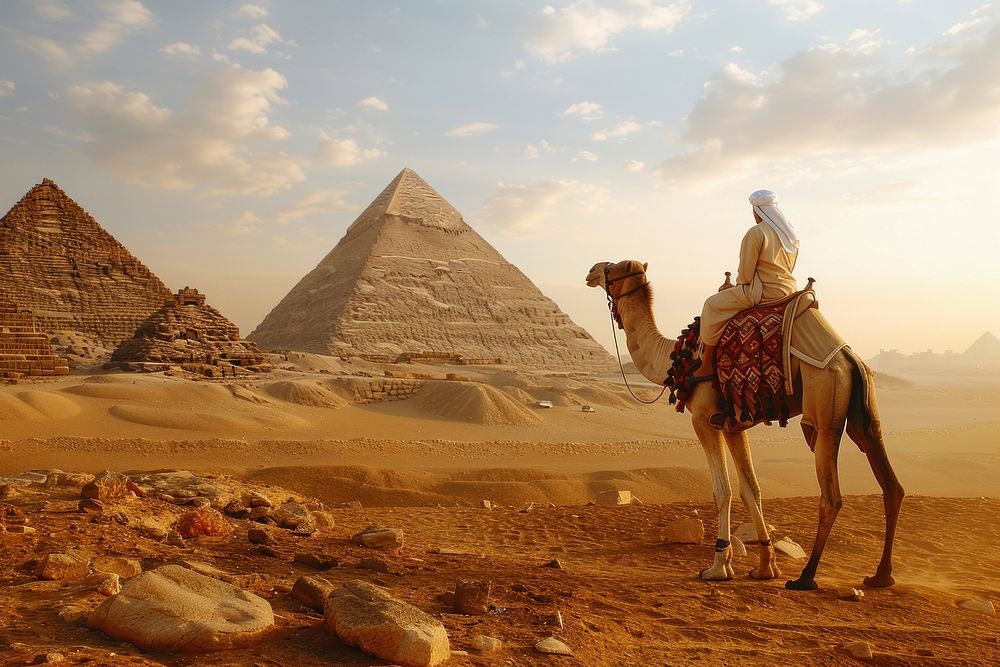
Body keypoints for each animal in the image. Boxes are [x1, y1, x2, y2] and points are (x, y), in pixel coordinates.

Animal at [584, 260, 908, 588]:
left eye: (613, 268)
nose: (591, 271)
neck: (676, 359)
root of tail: (849, 360)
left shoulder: (704, 420)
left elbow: (722, 490)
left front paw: (718, 567)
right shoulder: (733, 427)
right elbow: (751, 490)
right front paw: (765, 567)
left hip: (824, 411)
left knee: (831, 497)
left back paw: (805, 578)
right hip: (863, 413)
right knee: (891, 485)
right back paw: (880, 576)